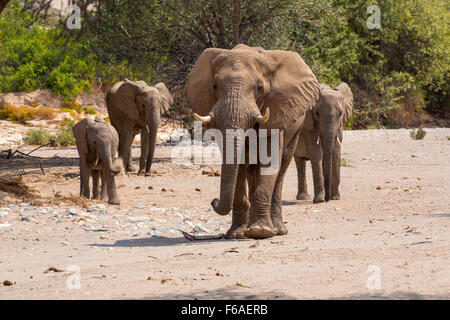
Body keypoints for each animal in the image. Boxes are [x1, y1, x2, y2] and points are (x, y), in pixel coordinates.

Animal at [184, 43, 320, 239]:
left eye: (260, 88)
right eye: (214, 85)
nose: (213, 201)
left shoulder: (277, 112)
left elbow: (270, 160)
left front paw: (260, 231)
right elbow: (237, 166)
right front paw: (237, 234)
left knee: (282, 168)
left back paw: (277, 230)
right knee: (251, 170)